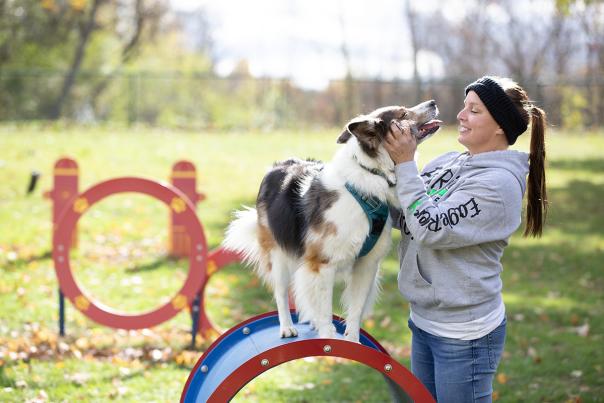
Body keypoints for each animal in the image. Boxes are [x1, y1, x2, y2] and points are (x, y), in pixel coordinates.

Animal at [224, 99, 442, 342]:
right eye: (403, 113)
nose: (433, 102)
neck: (371, 173)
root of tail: (278, 165)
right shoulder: (322, 263)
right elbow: (325, 308)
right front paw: (328, 337)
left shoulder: (366, 264)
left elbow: (355, 309)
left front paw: (352, 341)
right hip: (277, 254)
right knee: (281, 292)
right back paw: (287, 327)